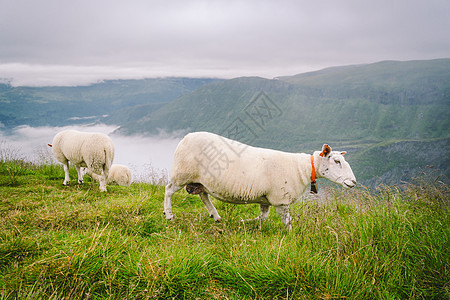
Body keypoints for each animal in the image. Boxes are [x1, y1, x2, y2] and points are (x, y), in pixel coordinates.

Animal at [163, 132, 356, 230]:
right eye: (336, 161)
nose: (353, 182)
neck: (304, 169)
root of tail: (185, 137)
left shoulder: (266, 199)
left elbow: (263, 217)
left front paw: (245, 222)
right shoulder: (280, 200)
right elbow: (287, 220)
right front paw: (290, 235)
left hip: (200, 181)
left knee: (203, 195)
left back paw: (215, 216)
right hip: (182, 174)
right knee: (168, 190)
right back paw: (169, 215)